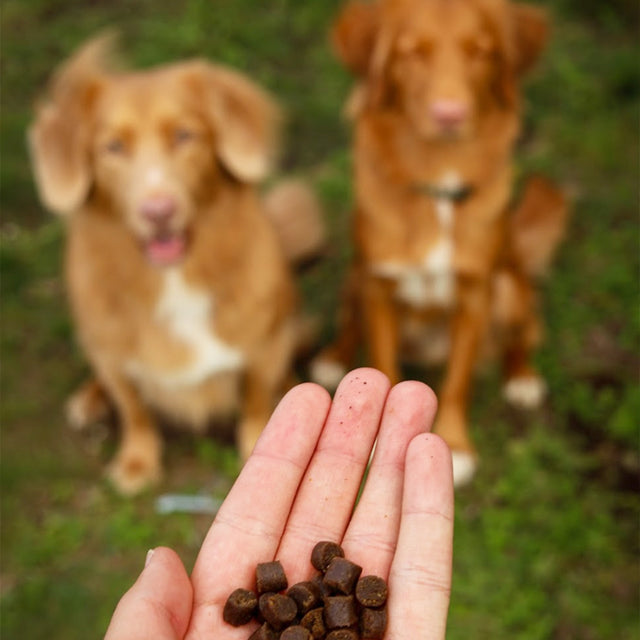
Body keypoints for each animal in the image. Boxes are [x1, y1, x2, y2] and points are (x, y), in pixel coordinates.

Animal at [27, 35, 322, 496]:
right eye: (112, 147)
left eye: (185, 135)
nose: (158, 211)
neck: (174, 281)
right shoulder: (112, 353)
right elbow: (134, 408)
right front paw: (137, 462)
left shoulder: (264, 346)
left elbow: (256, 399)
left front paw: (257, 433)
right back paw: (89, 399)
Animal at [312, 0, 568, 484]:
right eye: (412, 53)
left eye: (481, 52)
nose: (450, 114)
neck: (437, 183)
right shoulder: (378, 287)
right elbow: (383, 361)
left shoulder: (475, 295)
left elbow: (458, 379)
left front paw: (455, 446)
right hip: (354, 276)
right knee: (349, 319)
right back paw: (334, 356)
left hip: (509, 287)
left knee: (521, 335)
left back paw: (522, 377)